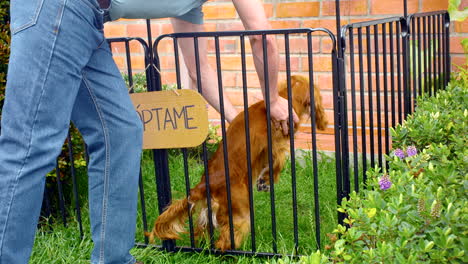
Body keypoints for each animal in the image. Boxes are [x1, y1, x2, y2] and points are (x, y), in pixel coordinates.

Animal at [145, 75, 326, 251]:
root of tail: (203, 186)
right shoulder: (275, 144)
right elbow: (277, 163)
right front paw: (267, 180)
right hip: (240, 214)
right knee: (225, 241)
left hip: (207, 214)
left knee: (201, 234)